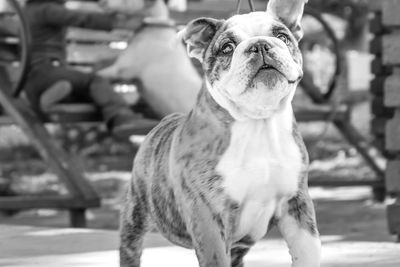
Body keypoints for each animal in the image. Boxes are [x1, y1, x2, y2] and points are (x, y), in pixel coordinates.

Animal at [119, 0, 322, 266]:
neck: (258, 122)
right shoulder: (209, 218)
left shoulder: (296, 205)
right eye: (227, 48)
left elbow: (308, 252)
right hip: (136, 217)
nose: (260, 45)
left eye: (282, 36)